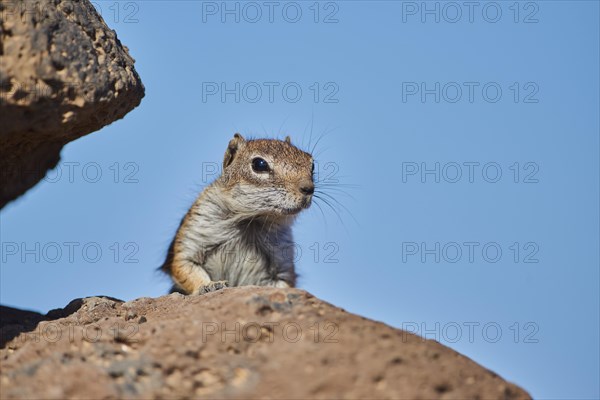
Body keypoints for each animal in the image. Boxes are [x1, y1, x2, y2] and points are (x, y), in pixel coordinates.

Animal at [162, 134, 316, 294]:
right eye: (259, 164)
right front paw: (209, 286)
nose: (309, 188)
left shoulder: (283, 261)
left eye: (312, 165)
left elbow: (284, 283)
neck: (251, 221)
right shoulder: (190, 240)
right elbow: (185, 267)